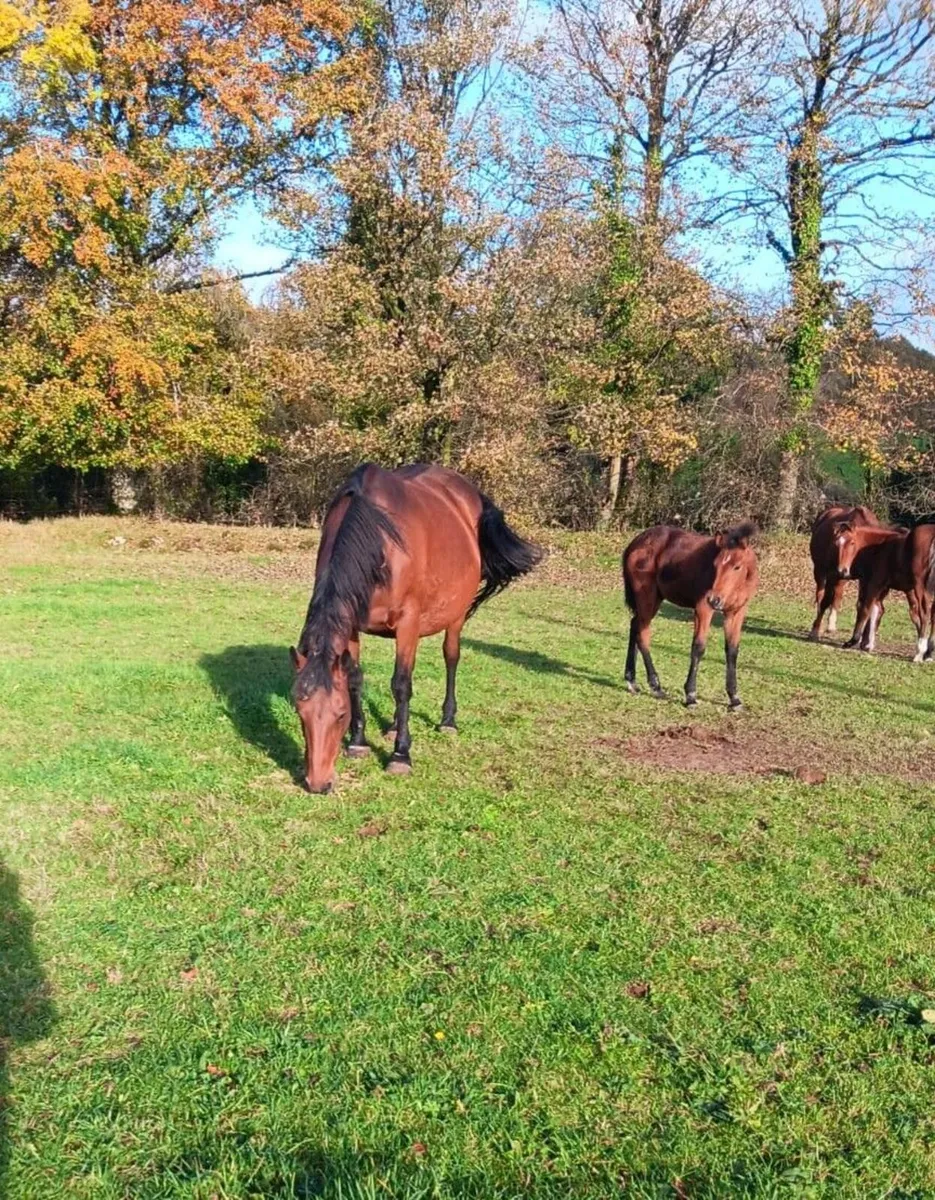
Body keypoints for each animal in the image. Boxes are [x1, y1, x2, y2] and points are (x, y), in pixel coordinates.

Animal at [290, 463, 542, 793]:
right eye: (300, 711)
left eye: (339, 714)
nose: (317, 783)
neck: (381, 542)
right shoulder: (352, 624)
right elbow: (356, 679)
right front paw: (359, 741)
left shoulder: (408, 621)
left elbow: (401, 684)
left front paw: (401, 755)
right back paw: (394, 724)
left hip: (454, 615)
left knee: (450, 657)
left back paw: (447, 720)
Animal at [622, 523, 759, 710]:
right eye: (715, 565)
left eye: (737, 566)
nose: (714, 599)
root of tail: (635, 543)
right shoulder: (703, 608)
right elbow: (698, 647)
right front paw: (691, 695)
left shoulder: (736, 612)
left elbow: (732, 650)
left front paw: (734, 698)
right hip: (646, 597)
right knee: (642, 635)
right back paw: (655, 686)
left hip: (654, 599)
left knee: (635, 626)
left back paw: (632, 680)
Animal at [808, 505, 881, 641]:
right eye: (836, 544)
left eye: (852, 543)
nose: (841, 569)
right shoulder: (832, 574)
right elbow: (825, 601)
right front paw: (815, 631)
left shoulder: (864, 579)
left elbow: (861, 604)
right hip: (820, 570)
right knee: (820, 595)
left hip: (841, 579)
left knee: (837, 595)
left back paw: (831, 624)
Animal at [844, 523, 935, 662]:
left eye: (852, 542)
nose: (844, 570)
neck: (881, 546)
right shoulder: (900, 589)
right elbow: (884, 610)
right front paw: (868, 644)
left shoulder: (873, 582)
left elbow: (864, 608)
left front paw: (853, 641)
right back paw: (928, 653)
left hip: (921, 587)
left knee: (925, 614)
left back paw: (919, 654)